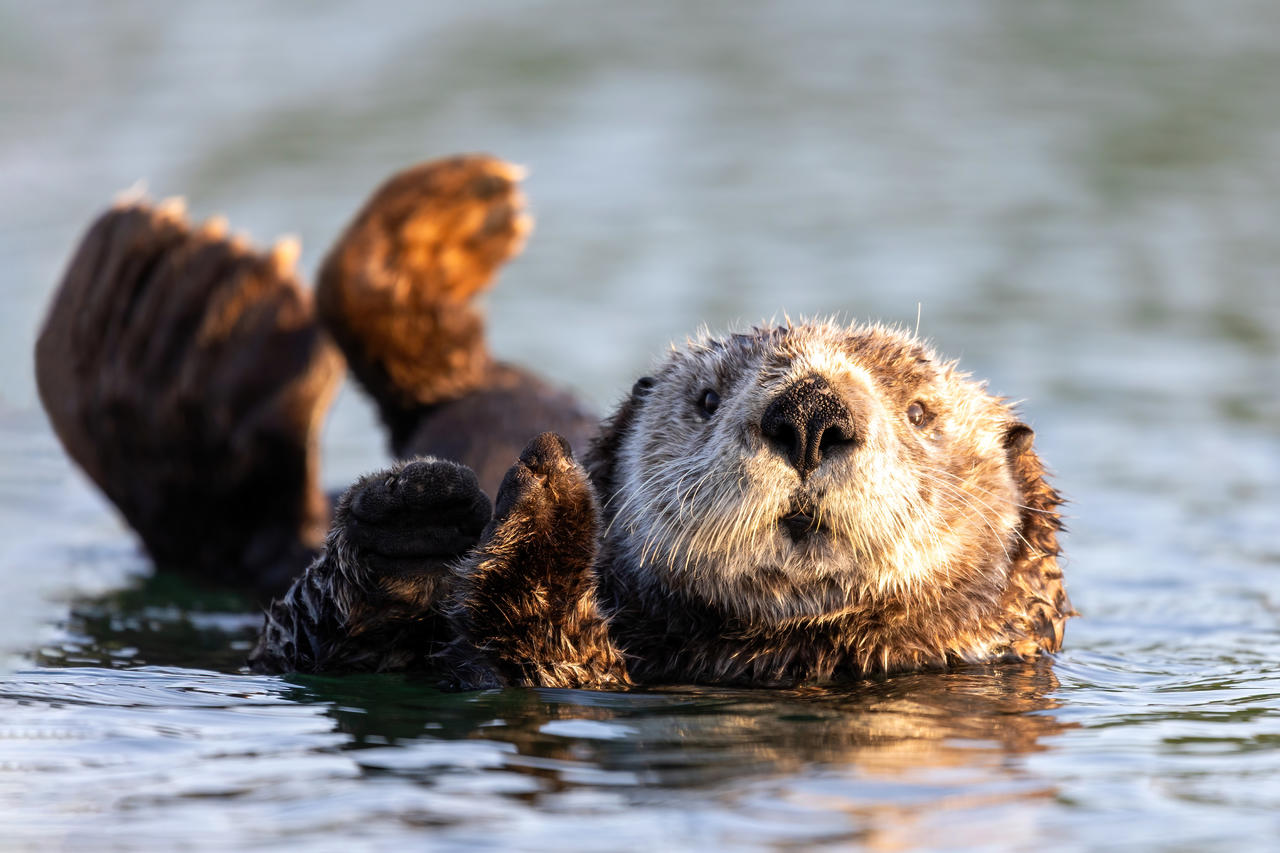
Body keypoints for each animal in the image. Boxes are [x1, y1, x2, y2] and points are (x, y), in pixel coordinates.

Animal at [32, 153, 1070, 686]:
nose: (811, 413)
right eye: (705, 398)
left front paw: (542, 513)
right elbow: (307, 632)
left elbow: (535, 647)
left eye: (921, 409)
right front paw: (424, 507)